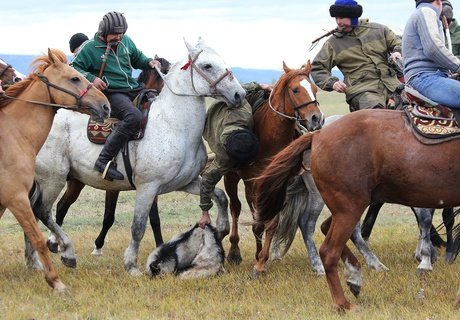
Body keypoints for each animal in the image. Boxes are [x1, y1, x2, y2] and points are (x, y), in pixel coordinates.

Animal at [0, 48, 109, 292]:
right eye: (75, 78)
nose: (106, 105)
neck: (13, 134)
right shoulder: (16, 198)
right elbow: (39, 238)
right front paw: (56, 282)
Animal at [222, 60, 324, 272]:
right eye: (295, 90)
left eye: (314, 89)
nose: (317, 119)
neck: (270, 139)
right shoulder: (252, 183)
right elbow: (256, 221)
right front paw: (257, 259)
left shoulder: (278, 184)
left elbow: (272, 223)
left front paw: (261, 260)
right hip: (232, 178)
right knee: (235, 208)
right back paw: (234, 251)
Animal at [255, 107, 460, 310]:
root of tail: (318, 134)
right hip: (349, 207)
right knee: (328, 249)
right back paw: (343, 302)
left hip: (349, 205)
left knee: (326, 227)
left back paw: (355, 274)